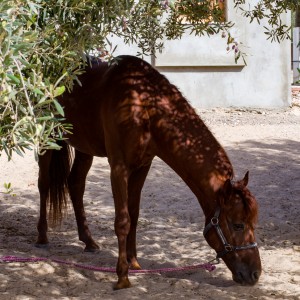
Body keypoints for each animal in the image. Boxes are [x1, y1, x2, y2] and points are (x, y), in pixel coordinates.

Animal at [36, 55, 262, 290]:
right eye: (238, 224)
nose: (255, 274)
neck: (143, 107)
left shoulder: (143, 166)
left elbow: (134, 214)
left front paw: (134, 262)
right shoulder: (118, 168)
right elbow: (122, 220)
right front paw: (122, 276)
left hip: (84, 148)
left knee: (76, 184)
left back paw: (88, 241)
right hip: (46, 138)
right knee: (44, 183)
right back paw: (42, 237)